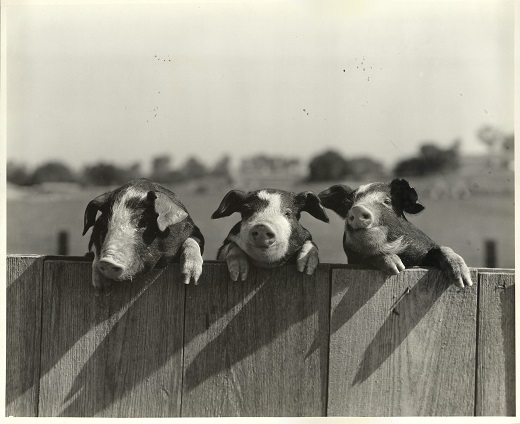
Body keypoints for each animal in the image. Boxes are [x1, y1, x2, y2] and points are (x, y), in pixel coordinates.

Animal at [318, 177, 474, 290]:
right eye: (348, 205)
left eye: (387, 201)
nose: (357, 209)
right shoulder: (354, 259)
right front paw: (396, 267)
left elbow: (443, 248)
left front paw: (464, 281)